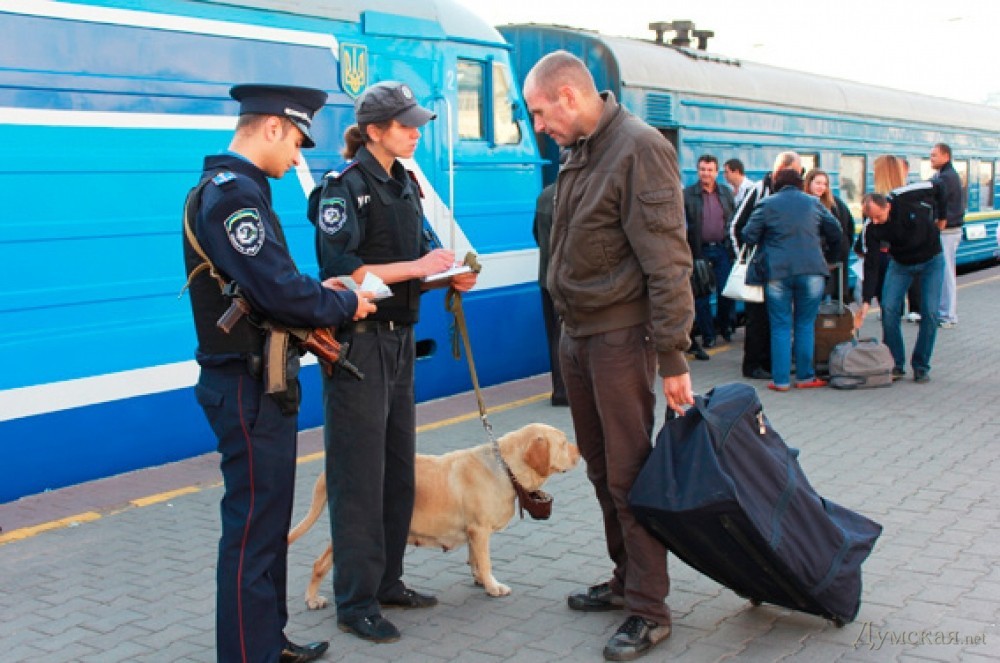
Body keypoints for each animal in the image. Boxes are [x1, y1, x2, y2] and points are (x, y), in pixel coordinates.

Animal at [288, 426, 580, 608]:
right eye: (563, 442)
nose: (580, 451)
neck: (504, 467)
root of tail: (331, 471)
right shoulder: (480, 529)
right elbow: (486, 563)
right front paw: (493, 587)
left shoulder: (473, 532)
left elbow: (475, 560)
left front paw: (479, 580)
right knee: (320, 564)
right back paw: (313, 599)